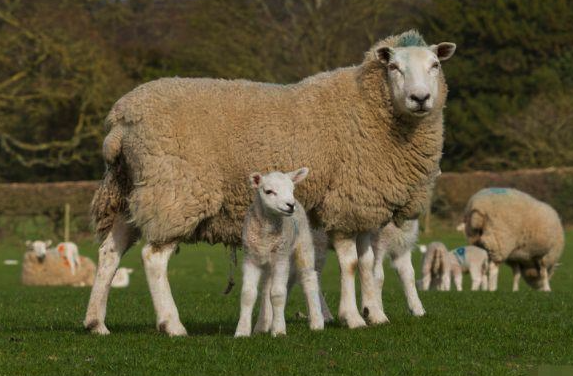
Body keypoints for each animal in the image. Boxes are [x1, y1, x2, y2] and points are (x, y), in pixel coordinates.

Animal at [232, 168, 322, 338]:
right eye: (269, 191)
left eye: (292, 189)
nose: (290, 205)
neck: (265, 235)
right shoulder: (250, 259)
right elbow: (248, 294)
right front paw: (242, 331)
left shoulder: (281, 258)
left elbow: (278, 294)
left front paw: (279, 330)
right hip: (268, 262)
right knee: (266, 288)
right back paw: (262, 326)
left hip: (303, 245)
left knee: (309, 278)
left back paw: (317, 323)